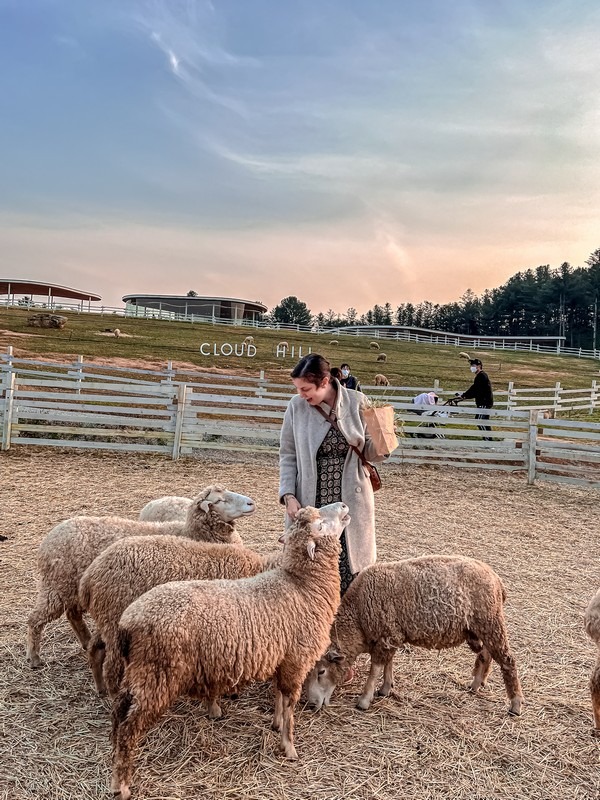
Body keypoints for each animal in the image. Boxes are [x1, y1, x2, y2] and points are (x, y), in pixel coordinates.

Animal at [24, 488, 254, 668]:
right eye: (220, 500)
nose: (251, 502)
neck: (188, 532)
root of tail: (49, 539)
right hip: (57, 585)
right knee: (36, 618)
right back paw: (34, 657)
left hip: (70, 587)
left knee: (72, 615)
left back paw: (86, 641)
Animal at [111, 500, 352, 792]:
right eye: (320, 524)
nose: (343, 504)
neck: (302, 586)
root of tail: (129, 619)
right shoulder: (297, 659)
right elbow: (290, 703)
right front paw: (289, 747)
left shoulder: (281, 656)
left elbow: (278, 695)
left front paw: (276, 724)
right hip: (156, 674)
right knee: (128, 727)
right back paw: (121, 785)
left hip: (139, 673)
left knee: (119, 715)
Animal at [308, 556, 524, 720]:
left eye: (322, 671)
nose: (310, 704)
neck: (358, 615)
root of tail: (497, 581)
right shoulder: (391, 635)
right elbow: (388, 664)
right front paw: (385, 688)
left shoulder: (386, 636)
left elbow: (375, 669)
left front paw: (364, 700)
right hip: (480, 627)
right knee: (486, 655)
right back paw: (476, 684)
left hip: (491, 622)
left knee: (508, 661)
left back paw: (516, 704)